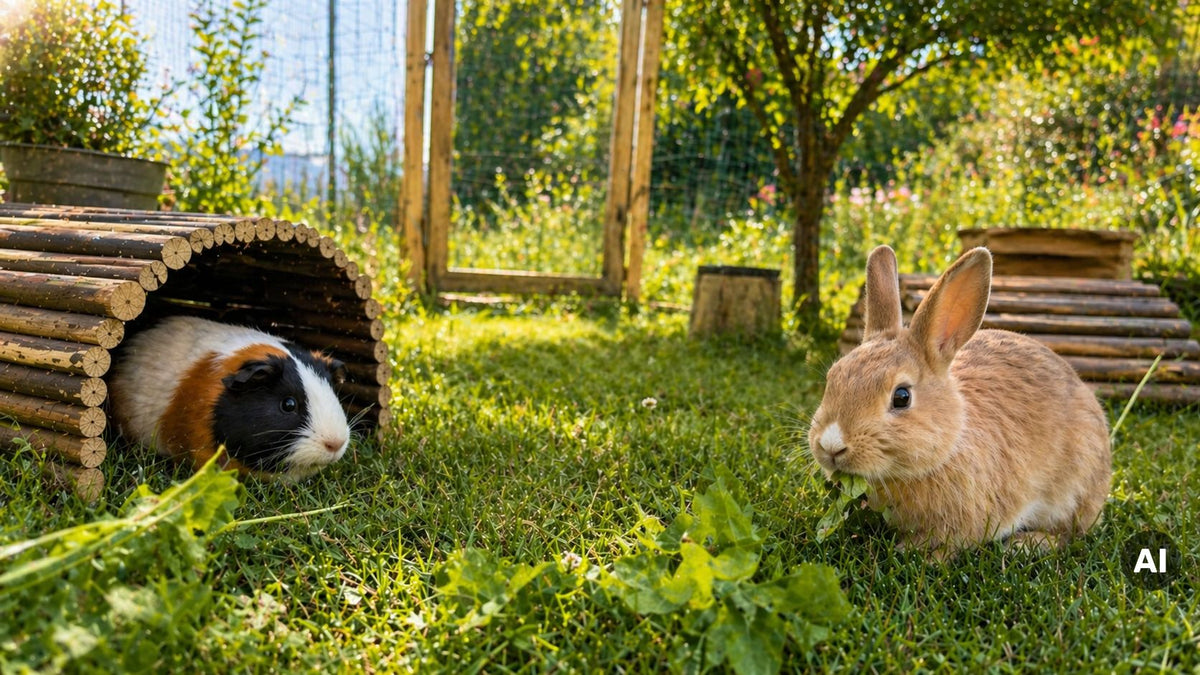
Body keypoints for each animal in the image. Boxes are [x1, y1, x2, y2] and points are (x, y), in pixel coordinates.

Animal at [808, 245, 1111, 555]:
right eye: (833, 377)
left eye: (902, 397)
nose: (831, 446)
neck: (949, 446)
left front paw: (914, 551)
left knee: (1070, 532)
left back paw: (1026, 543)